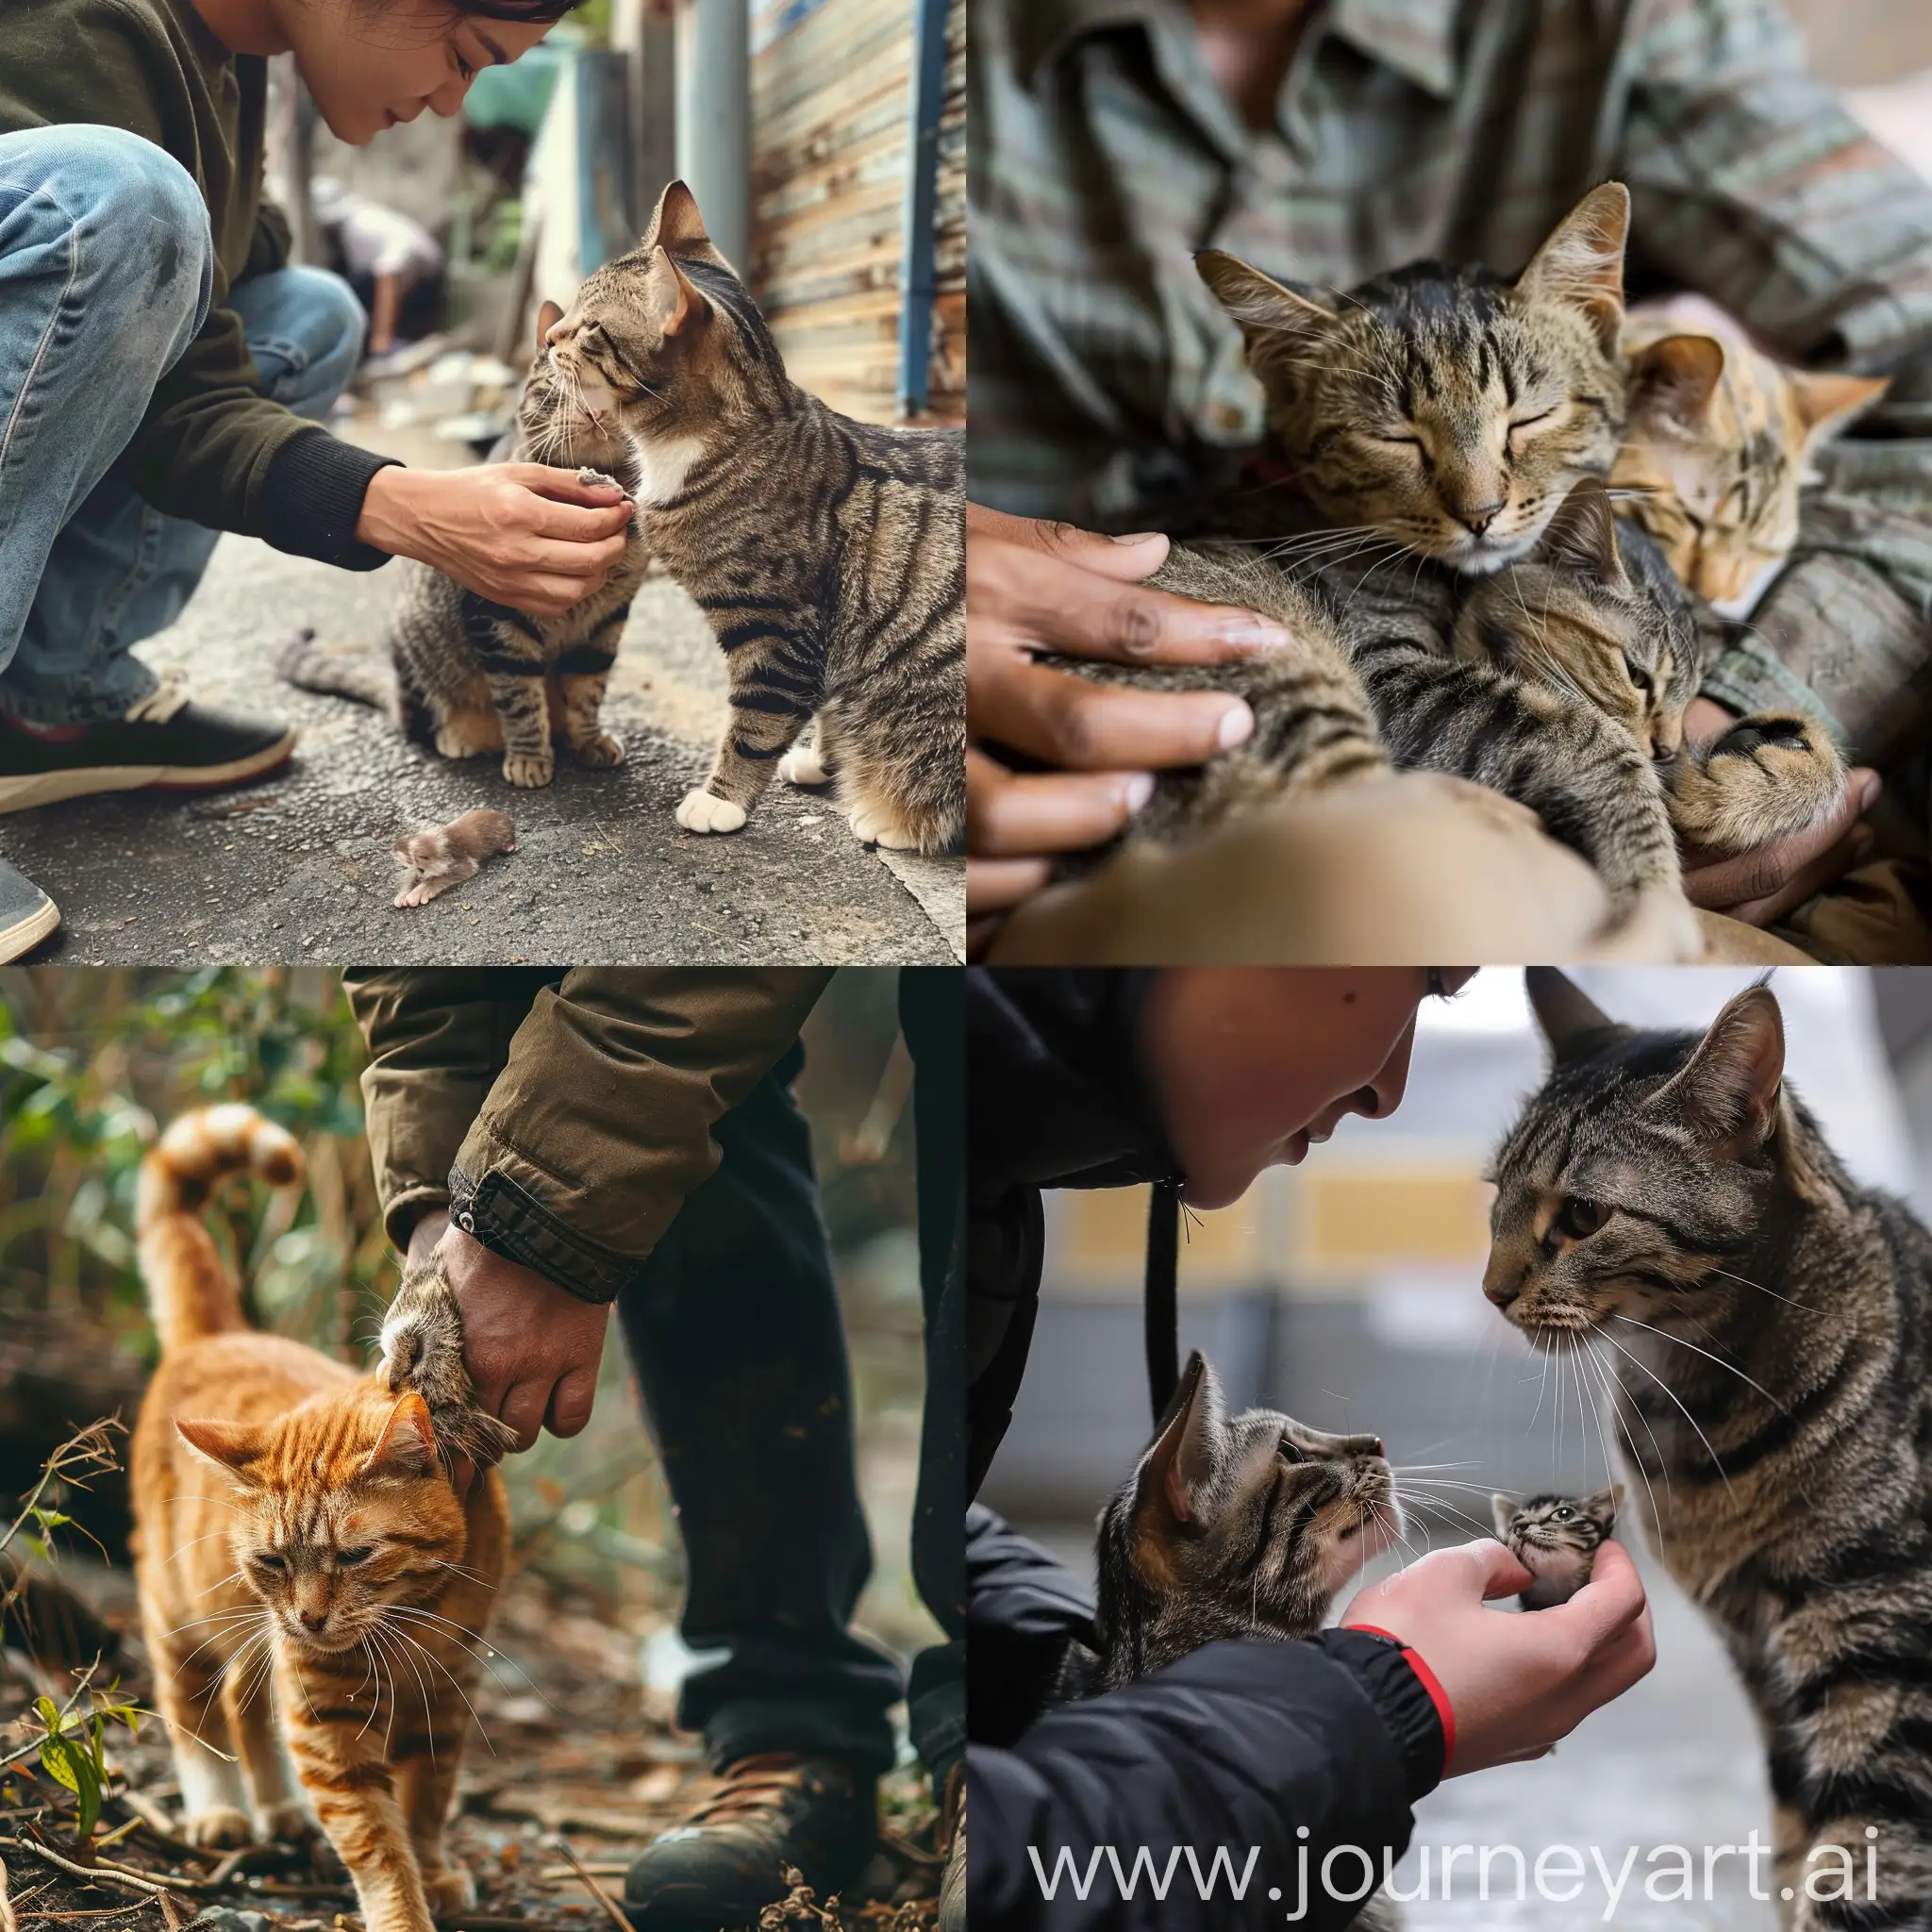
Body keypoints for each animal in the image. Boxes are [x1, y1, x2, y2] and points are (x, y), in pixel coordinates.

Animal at [128, 1105, 506, 1932]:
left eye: (355, 1557)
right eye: (275, 1561)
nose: (308, 1618)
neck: (417, 1614)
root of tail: (220, 1332)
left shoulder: (444, 1699)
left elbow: (427, 1804)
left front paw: (435, 1870)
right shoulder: (326, 1714)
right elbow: (378, 1841)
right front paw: (405, 1911)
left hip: (249, 1631)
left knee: (244, 1702)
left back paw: (276, 1808)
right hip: (185, 1613)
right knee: (194, 1706)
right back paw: (220, 1809)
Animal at [279, 301, 653, 784]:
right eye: (559, 383)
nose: (594, 412)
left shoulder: (608, 617)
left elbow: (588, 688)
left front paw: (588, 739)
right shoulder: (497, 615)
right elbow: (519, 695)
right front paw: (529, 757)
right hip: (415, 645)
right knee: (421, 721)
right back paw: (461, 736)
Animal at [391, 811, 517, 908]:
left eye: (410, 859)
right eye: (405, 837)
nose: (396, 846)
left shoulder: (461, 859)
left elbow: (442, 877)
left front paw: (419, 893)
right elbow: (411, 877)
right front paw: (403, 894)